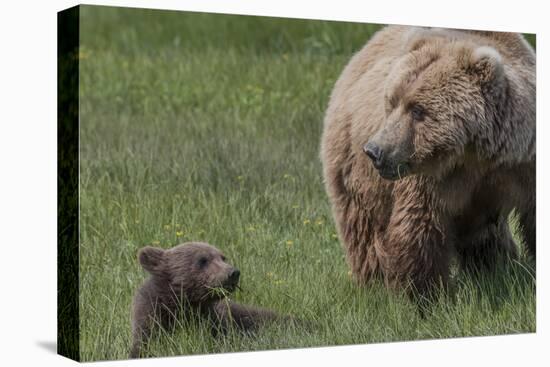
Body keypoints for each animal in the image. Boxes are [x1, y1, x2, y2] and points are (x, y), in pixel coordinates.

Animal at [322, 26, 536, 300]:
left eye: (417, 109)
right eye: (392, 102)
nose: (375, 151)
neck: (475, 154)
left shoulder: (523, 163)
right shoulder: (429, 179)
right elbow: (419, 226)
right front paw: (425, 295)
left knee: (486, 235)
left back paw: (496, 267)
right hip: (353, 168)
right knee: (364, 229)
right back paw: (375, 283)